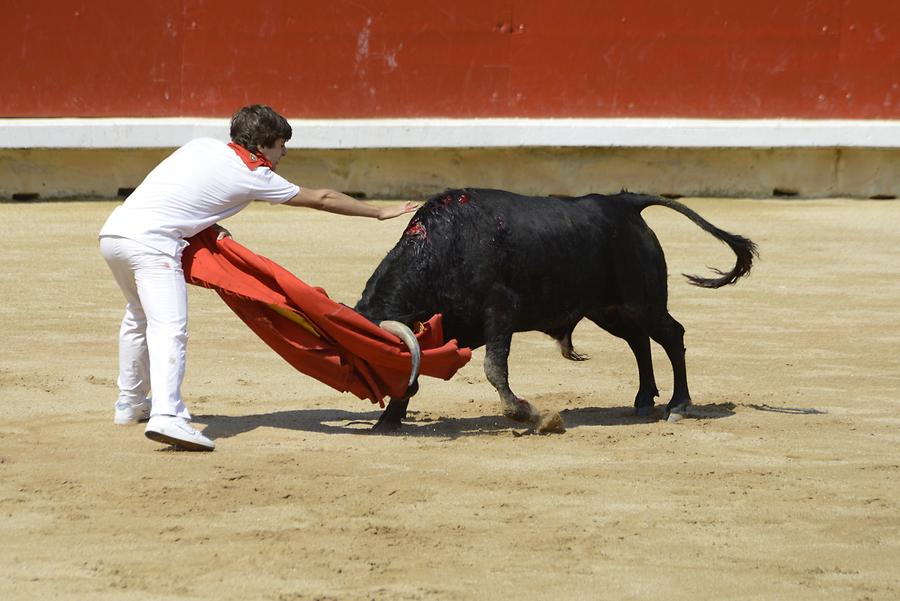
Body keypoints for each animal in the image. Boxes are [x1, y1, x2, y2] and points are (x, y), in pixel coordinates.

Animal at [356, 190, 756, 428]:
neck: (441, 248)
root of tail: (623, 202)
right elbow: (419, 364)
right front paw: (389, 420)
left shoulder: (500, 312)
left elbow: (493, 368)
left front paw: (524, 412)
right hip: (608, 309)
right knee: (639, 341)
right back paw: (644, 400)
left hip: (643, 301)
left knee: (671, 335)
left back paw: (678, 405)